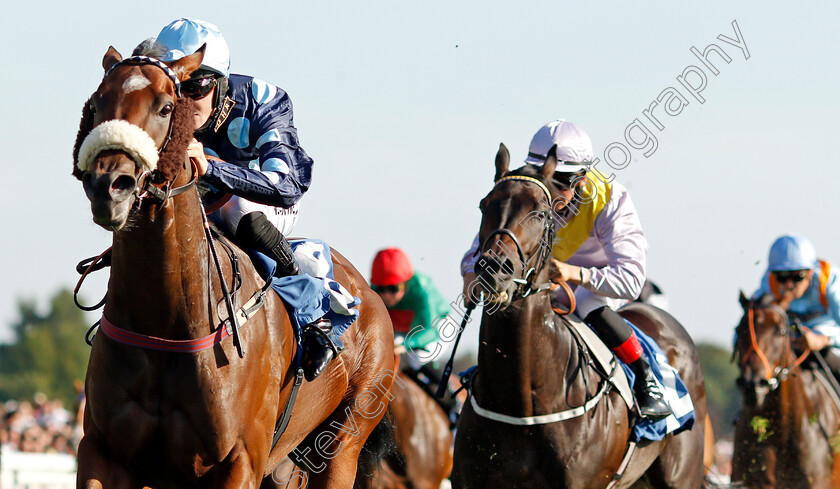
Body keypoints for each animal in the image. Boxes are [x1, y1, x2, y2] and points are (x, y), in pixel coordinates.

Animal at [71, 43, 394, 486]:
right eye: (97, 102)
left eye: (166, 106)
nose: (108, 185)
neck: (165, 322)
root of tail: (370, 296)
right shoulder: (103, 453)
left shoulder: (240, 460)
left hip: (345, 438)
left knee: (250, 215)